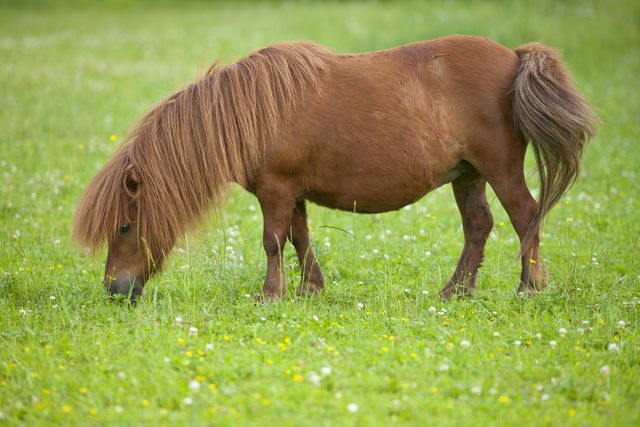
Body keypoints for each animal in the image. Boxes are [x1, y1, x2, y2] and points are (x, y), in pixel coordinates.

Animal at [72, 35, 598, 302]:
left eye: (124, 226)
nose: (114, 291)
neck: (252, 113)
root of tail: (514, 57)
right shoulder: (292, 192)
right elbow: (298, 238)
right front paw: (310, 288)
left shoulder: (276, 190)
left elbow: (273, 241)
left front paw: (271, 295)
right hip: (468, 175)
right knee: (479, 227)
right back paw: (456, 291)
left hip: (500, 170)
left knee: (525, 219)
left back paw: (528, 289)